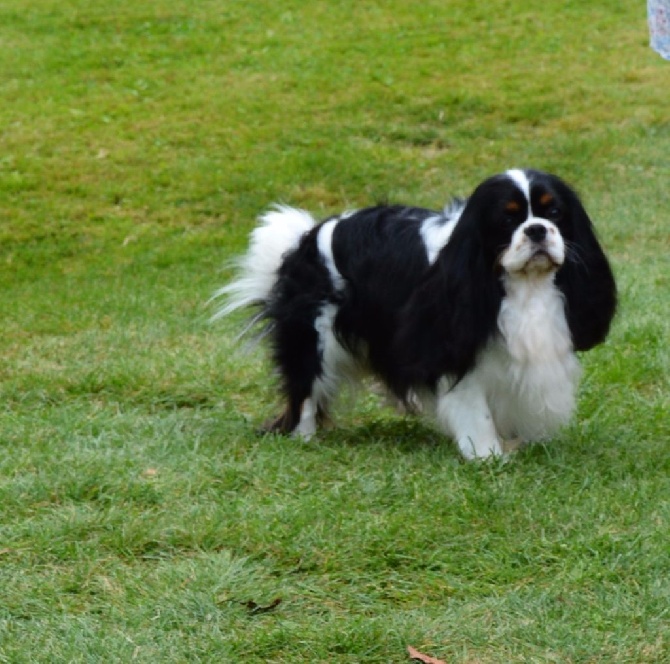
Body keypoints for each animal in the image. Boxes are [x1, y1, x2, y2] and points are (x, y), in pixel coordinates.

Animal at [217, 169, 620, 460]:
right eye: (507, 221)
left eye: (554, 213)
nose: (536, 230)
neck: (523, 285)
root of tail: (307, 236)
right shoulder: (453, 346)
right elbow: (474, 406)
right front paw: (487, 455)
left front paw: (509, 444)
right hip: (316, 337)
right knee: (304, 390)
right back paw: (303, 438)